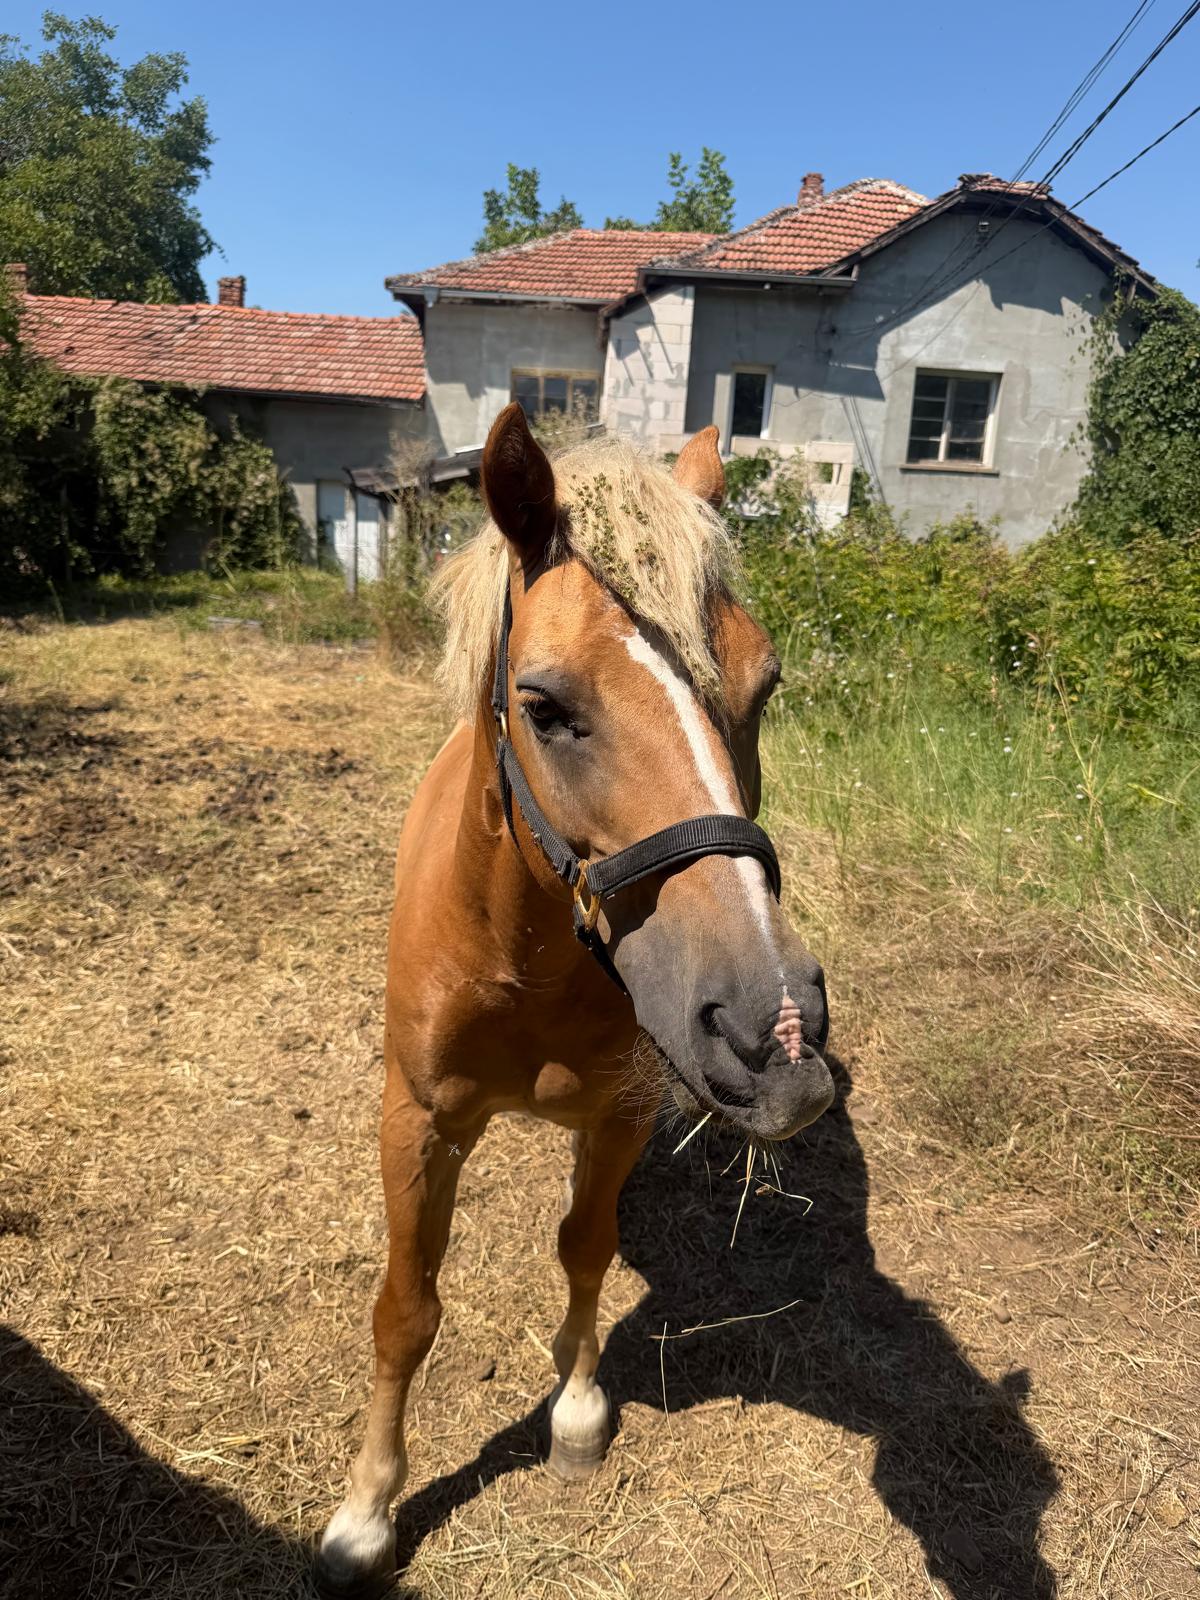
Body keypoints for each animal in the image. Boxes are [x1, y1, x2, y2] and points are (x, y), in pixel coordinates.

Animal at [315, 404, 833, 1596]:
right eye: (544, 706)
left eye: (765, 682)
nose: (776, 1034)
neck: (525, 962)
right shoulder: (415, 1123)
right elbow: (406, 1308)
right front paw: (366, 1509)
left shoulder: (622, 1114)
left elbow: (585, 1248)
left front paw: (580, 1411)